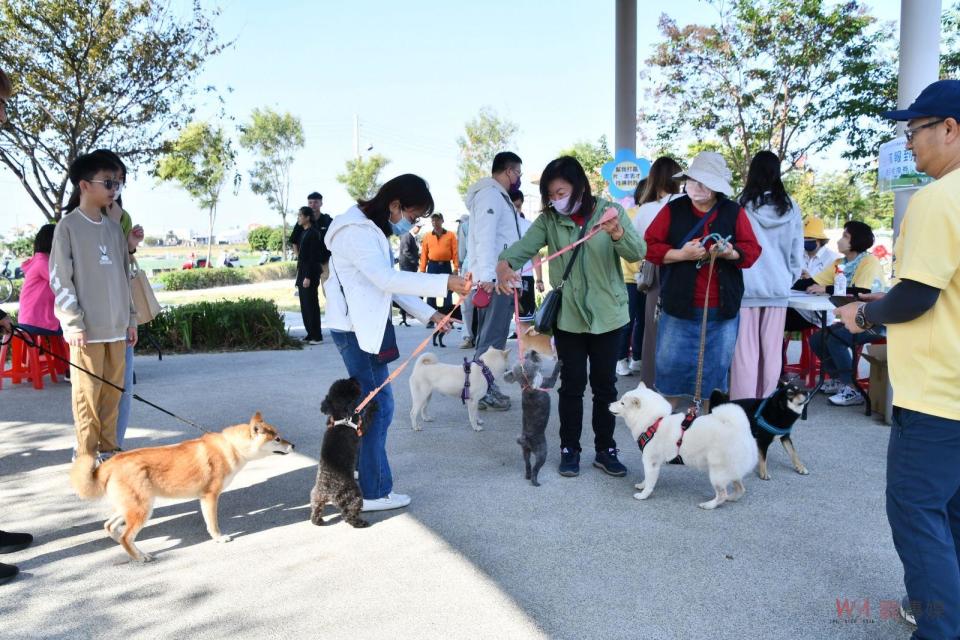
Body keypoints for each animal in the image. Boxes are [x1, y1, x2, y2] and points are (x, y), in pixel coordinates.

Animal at [69, 412, 292, 564]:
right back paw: (141, 556)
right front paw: (219, 539)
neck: (231, 446)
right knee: (125, 536)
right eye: (277, 439)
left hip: (132, 507)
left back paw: (126, 547)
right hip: (143, 509)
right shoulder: (210, 497)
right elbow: (213, 524)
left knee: (110, 526)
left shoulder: (204, 498)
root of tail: (110, 463)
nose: (294, 446)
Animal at [314, 378, 376, 528]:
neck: (341, 417)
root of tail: (328, 490)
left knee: (316, 507)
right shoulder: (360, 427)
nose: (354, 378)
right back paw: (359, 523)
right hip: (353, 495)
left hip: (317, 495)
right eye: (351, 386)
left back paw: (316, 520)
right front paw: (372, 404)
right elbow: (367, 417)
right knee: (348, 514)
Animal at [502, 350, 564, 484]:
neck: (528, 385)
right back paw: (535, 481)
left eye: (526, 356)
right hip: (542, 453)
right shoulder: (549, 382)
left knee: (528, 465)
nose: (533, 351)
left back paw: (527, 475)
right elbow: (554, 374)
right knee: (536, 468)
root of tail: (526, 439)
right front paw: (559, 363)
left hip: (525, 452)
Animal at [612, 382, 752, 508]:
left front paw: (643, 495)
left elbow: (650, 482)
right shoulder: (651, 463)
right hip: (730, 470)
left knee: (722, 494)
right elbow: (646, 478)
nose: (609, 404)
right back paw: (731, 498)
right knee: (741, 488)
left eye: (622, 403)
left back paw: (709, 505)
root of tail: (740, 429)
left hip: (717, 472)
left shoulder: (651, 462)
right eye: (620, 400)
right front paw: (642, 485)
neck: (654, 422)